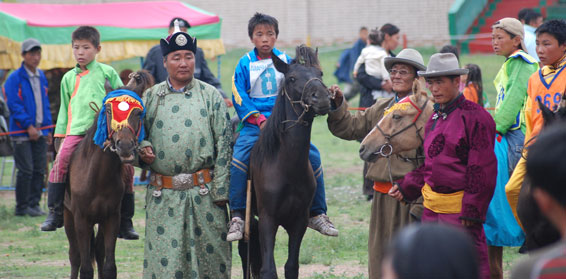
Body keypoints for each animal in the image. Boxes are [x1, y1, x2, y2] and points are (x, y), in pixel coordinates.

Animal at [63, 71, 153, 279]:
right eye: (110, 111)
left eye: (137, 113)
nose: (125, 146)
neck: (97, 178)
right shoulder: (81, 219)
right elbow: (86, 268)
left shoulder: (112, 218)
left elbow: (109, 266)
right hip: (67, 216)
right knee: (75, 257)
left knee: (97, 251)